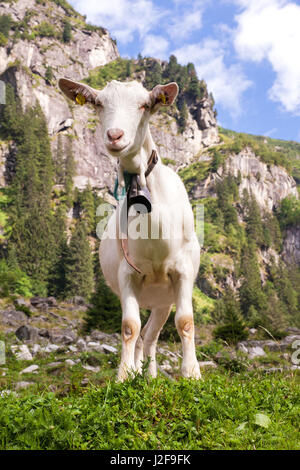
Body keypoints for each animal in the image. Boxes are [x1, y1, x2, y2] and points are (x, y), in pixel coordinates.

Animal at [58, 76, 200, 378]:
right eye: (99, 104)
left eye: (145, 105)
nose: (115, 136)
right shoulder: (128, 274)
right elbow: (129, 327)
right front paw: (124, 376)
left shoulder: (182, 272)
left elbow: (185, 322)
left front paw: (192, 374)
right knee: (143, 334)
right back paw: (140, 373)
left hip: (162, 301)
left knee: (151, 336)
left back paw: (151, 375)